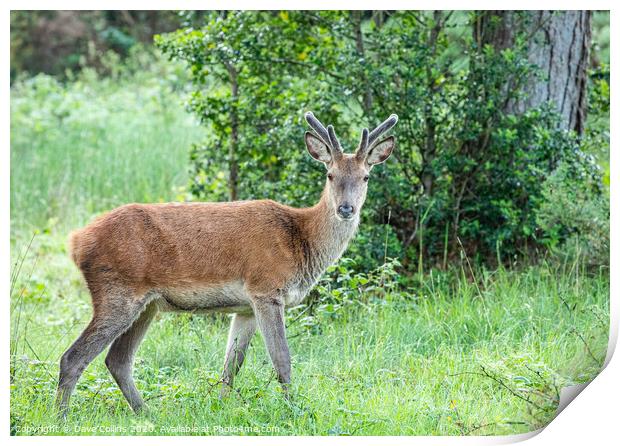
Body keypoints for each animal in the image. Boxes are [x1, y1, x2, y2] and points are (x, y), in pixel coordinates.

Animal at [58, 110, 398, 414]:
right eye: (330, 175)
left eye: (365, 176)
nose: (346, 208)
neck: (300, 240)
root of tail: (76, 241)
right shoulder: (266, 289)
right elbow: (282, 360)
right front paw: (294, 410)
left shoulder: (245, 307)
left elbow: (231, 366)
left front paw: (221, 407)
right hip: (117, 291)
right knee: (73, 357)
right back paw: (61, 417)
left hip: (148, 305)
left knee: (118, 359)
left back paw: (146, 414)